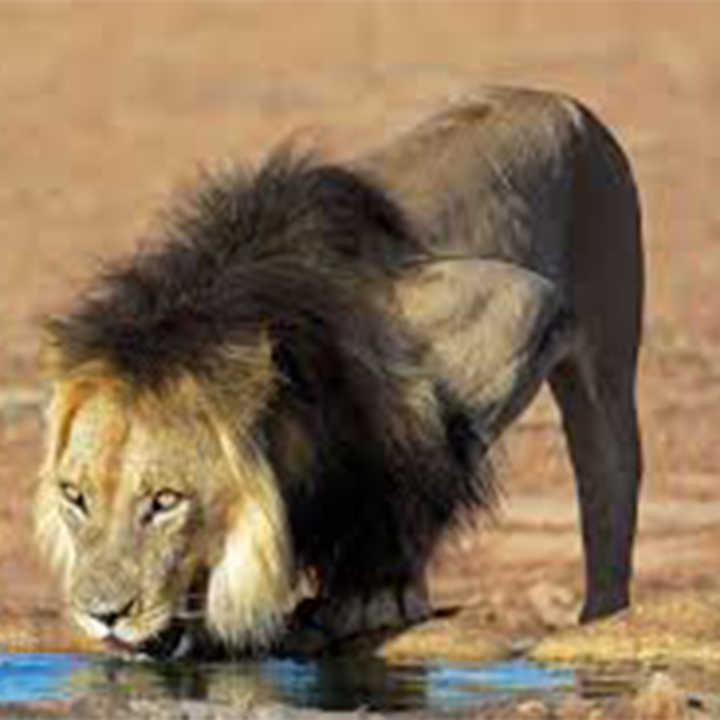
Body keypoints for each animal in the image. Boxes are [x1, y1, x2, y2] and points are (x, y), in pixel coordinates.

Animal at [36, 86, 643, 658]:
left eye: (164, 501)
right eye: (74, 496)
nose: (102, 614)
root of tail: (555, 98)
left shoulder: (518, 305)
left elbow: (420, 463)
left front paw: (375, 593)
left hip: (606, 357)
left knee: (609, 491)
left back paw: (601, 617)